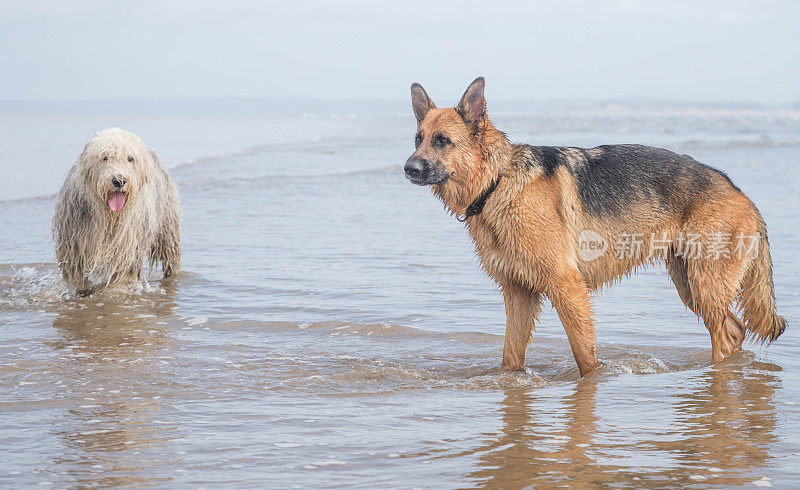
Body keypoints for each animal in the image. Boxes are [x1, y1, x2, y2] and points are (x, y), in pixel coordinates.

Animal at [54, 127, 181, 294]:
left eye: (130, 158)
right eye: (105, 157)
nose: (119, 180)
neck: (109, 216)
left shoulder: (127, 246)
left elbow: (121, 275)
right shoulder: (73, 246)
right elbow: (76, 278)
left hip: (167, 228)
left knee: (170, 258)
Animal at [406, 77, 788, 376]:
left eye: (442, 140)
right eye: (418, 139)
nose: (408, 169)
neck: (498, 182)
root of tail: (741, 193)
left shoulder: (567, 287)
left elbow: (584, 356)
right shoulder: (518, 294)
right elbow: (510, 357)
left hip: (704, 285)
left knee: (726, 334)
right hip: (690, 285)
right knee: (734, 330)